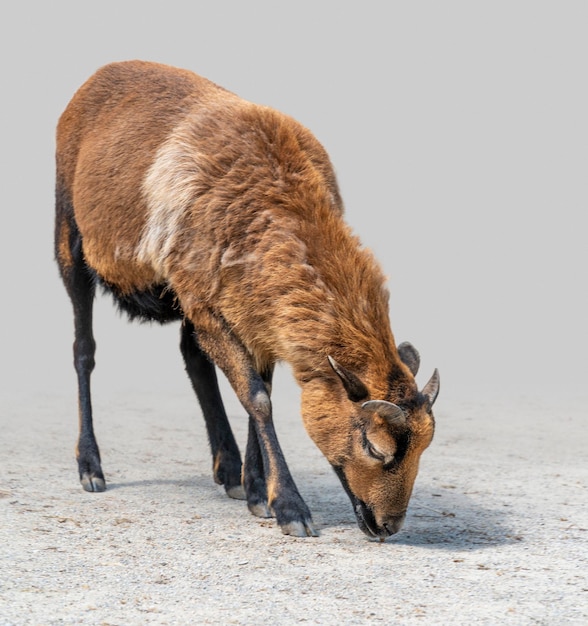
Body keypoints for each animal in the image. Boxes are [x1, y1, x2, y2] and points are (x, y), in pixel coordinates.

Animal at [55, 62, 438, 536]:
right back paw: (91, 468)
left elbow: (259, 387)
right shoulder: (209, 304)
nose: (388, 527)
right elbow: (257, 398)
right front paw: (290, 508)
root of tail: (103, 71)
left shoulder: (257, 313)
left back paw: (229, 470)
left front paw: (258, 491)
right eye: (373, 445)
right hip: (70, 237)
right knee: (84, 350)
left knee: (193, 358)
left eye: (425, 447)